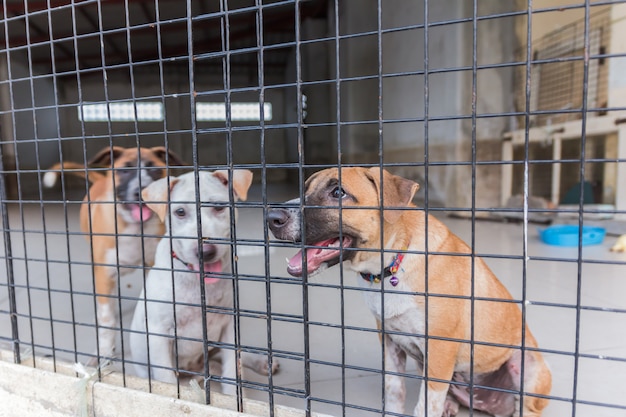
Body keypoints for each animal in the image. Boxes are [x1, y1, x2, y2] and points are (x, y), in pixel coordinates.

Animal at [44, 145, 183, 360]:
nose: (140, 191)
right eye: (125, 170)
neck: (135, 228)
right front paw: (105, 351)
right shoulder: (104, 273)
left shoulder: (152, 267)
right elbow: (107, 319)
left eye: (154, 169)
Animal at [129, 167, 276, 392]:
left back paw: (262, 362)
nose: (206, 252)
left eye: (219, 207)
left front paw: (232, 397)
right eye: (180, 212)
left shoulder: (229, 326)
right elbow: (166, 378)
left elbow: (232, 370)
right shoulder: (158, 334)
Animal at [266, 167, 548, 416]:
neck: (390, 266)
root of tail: (483, 402)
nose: (271, 218)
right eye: (304, 188)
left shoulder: (439, 351)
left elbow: (425, 406)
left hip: (530, 370)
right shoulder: (389, 341)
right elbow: (394, 390)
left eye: (338, 192)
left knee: (526, 409)